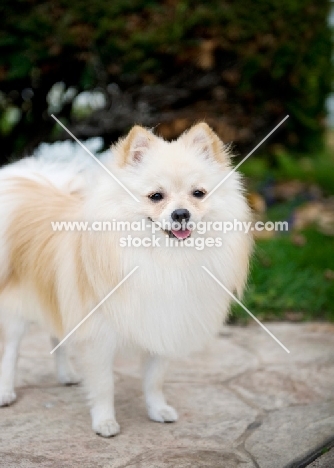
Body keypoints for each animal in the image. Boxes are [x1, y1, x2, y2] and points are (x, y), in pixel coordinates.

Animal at [0, 122, 252, 436]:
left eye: (198, 193)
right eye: (156, 196)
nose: (181, 213)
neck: (165, 257)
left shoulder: (163, 326)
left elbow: (154, 380)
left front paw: (157, 410)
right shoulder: (98, 337)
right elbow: (104, 386)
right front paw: (105, 422)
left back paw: (66, 374)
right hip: (16, 312)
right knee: (10, 352)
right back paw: (6, 392)